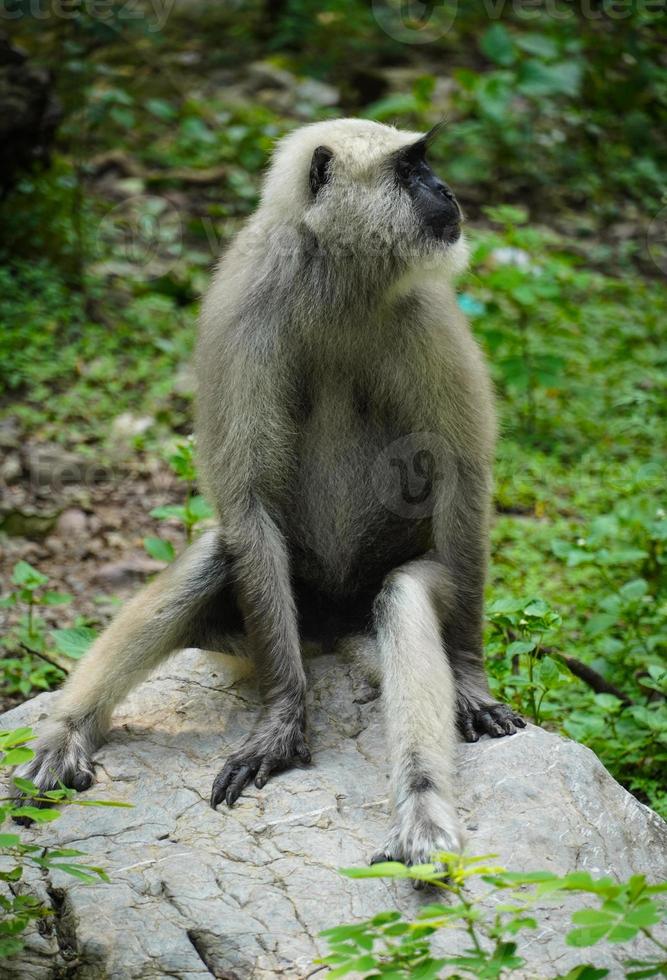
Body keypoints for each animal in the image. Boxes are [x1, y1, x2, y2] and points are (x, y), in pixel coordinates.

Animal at [17, 118, 528, 860]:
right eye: (411, 170)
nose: (445, 190)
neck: (340, 278)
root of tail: (329, 630)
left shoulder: (427, 308)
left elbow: (461, 478)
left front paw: (465, 677)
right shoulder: (245, 302)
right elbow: (247, 500)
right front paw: (284, 721)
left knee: (401, 593)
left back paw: (422, 816)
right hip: (262, 628)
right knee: (218, 554)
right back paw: (63, 736)